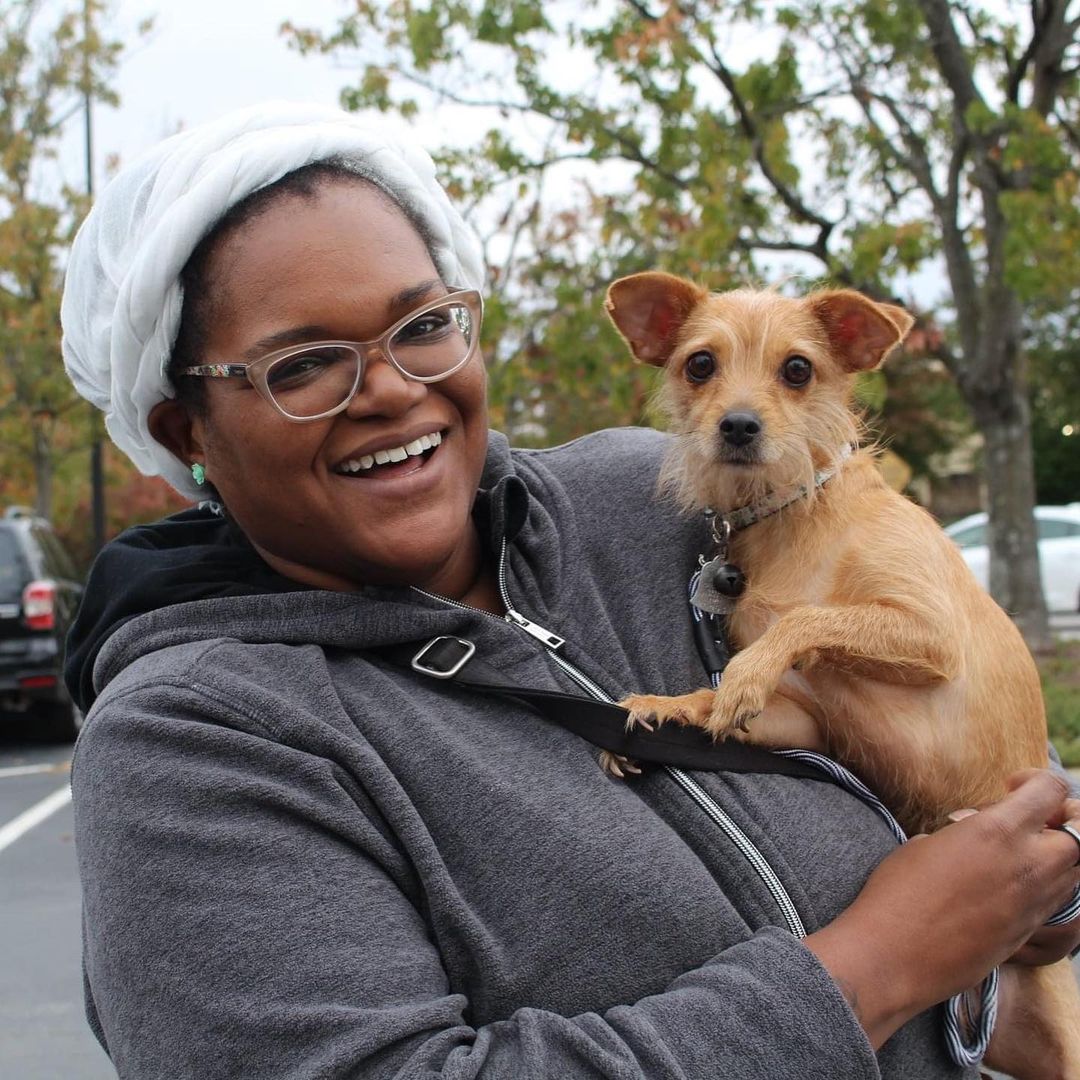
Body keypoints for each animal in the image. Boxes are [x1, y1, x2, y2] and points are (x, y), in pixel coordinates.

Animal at [609, 272, 1080, 1080]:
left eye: (798, 369)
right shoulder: (809, 718)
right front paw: (675, 704)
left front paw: (742, 673)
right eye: (699, 365)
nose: (737, 426)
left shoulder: (926, 633)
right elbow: (738, 690)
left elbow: (803, 623)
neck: (795, 518)